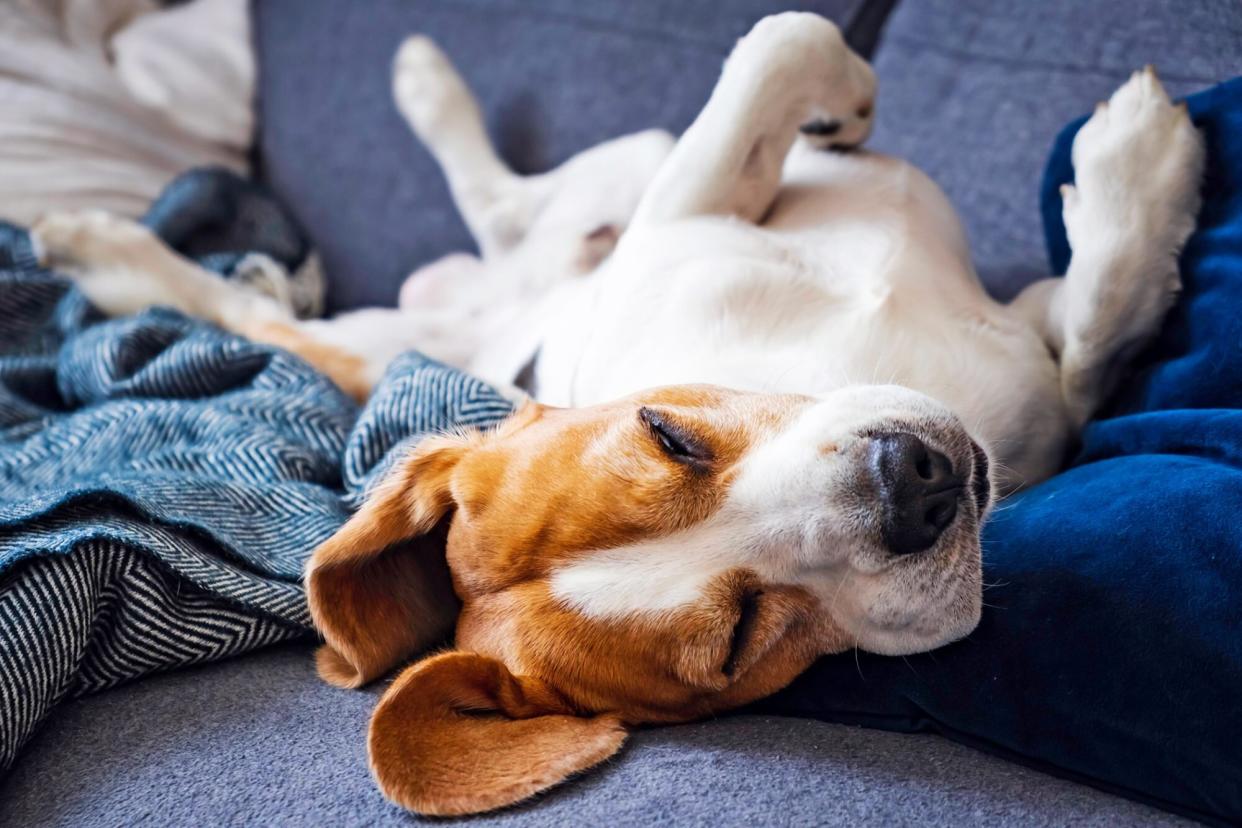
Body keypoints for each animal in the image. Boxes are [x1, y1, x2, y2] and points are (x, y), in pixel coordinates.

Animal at [33, 11, 1202, 814]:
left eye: (666, 434)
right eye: (740, 642)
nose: (913, 487)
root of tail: (480, 317)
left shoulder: (695, 206)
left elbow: (786, 41)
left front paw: (1119, 178)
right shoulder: (1038, 408)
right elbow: (1089, 350)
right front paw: (1142, 178)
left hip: (628, 166)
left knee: (506, 207)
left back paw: (418, 89)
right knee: (267, 310)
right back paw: (107, 252)